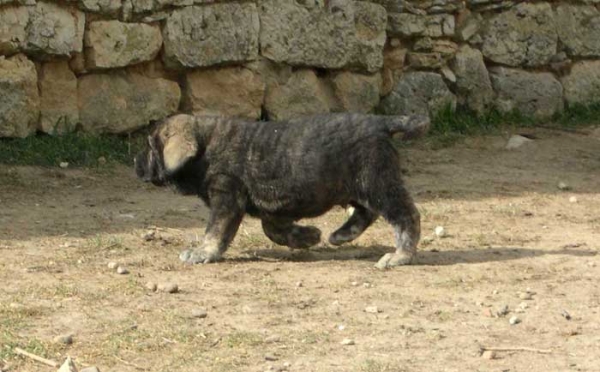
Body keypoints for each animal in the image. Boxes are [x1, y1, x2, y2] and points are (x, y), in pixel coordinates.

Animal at [136, 112, 428, 268]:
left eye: (150, 147)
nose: (136, 164)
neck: (206, 147)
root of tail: (381, 122)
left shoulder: (226, 198)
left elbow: (215, 232)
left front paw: (202, 253)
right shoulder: (272, 207)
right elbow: (272, 230)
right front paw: (306, 236)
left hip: (376, 181)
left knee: (405, 215)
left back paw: (400, 255)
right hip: (361, 185)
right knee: (367, 212)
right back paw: (343, 234)